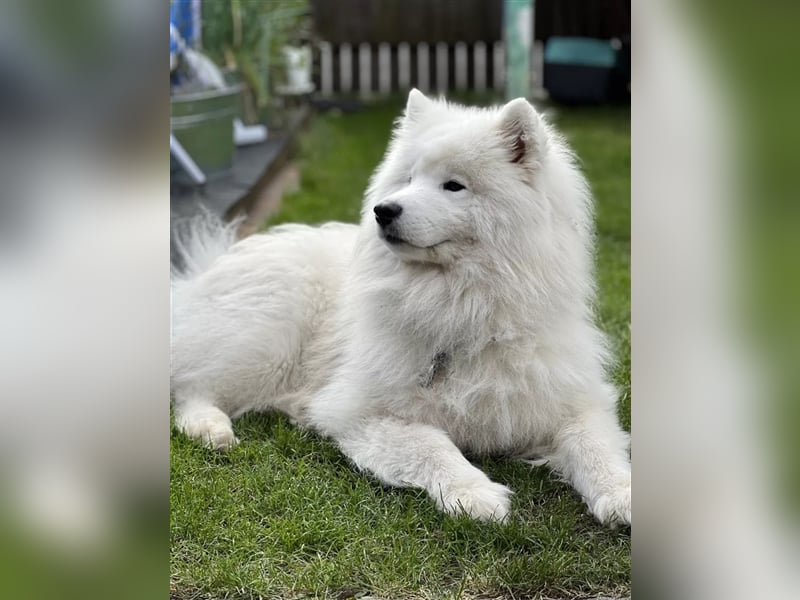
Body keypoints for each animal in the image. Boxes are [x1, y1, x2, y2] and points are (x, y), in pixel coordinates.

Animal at [170, 89, 632, 524]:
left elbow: (595, 447)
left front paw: (622, 495)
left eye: (454, 185)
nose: (384, 210)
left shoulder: (574, 400)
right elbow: (432, 446)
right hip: (267, 345)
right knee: (192, 388)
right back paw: (211, 429)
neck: (466, 308)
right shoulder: (362, 412)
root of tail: (202, 272)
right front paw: (474, 494)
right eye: (408, 179)